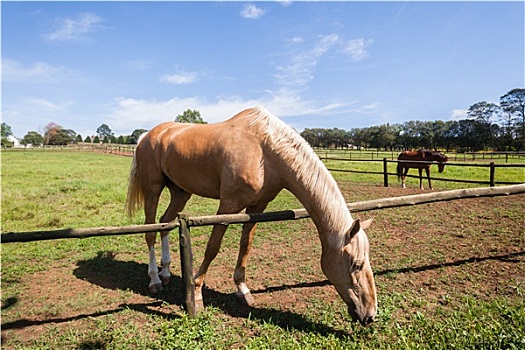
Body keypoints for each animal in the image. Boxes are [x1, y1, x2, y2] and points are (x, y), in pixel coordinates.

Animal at [125, 106, 374, 326]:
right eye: (357, 264)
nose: (370, 315)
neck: (265, 150)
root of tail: (148, 135)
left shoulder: (257, 208)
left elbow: (246, 246)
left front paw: (242, 289)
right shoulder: (228, 206)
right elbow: (213, 247)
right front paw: (196, 292)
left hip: (180, 192)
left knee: (165, 224)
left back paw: (166, 271)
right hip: (152, 190)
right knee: (150, 232)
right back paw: (155, 279)